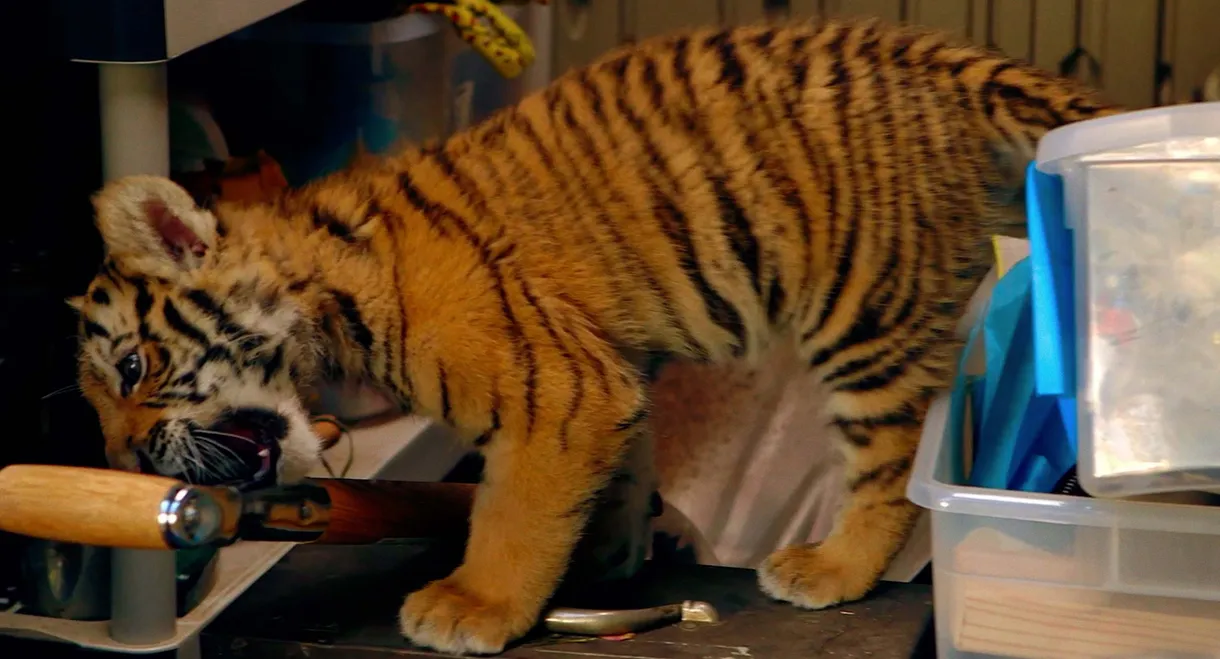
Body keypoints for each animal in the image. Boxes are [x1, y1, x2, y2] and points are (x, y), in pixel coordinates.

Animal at [69, 16, 1119, 656]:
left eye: (132, 366)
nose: (122, 465)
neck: (326, 283)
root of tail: (939, 55)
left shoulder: (556, 390)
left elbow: (512, 512)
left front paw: (475, 603)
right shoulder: (604, 374)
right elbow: (617, 467)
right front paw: (614, 551)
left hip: (864, 311)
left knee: (891, 461)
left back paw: (830, 566)